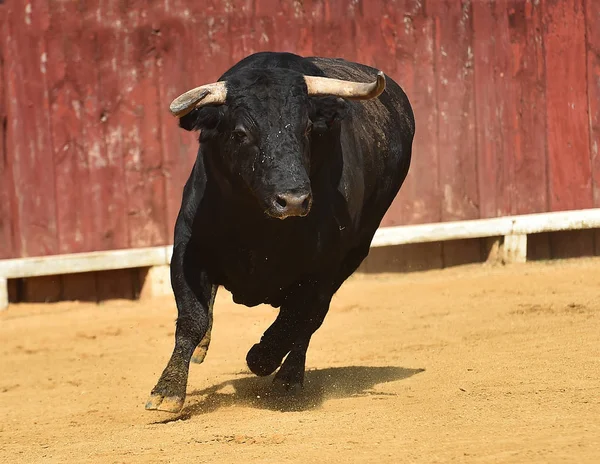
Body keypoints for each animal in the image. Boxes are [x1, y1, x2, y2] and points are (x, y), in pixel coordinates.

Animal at [148, 51, 414, 414]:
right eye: (241, 133)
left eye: (307, 129)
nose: (294, 200)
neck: (258, 224)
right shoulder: (188, 249)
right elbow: (192, 317)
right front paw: (167, 390)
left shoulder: (323, 268)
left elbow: (295, 320)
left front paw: (262, 357)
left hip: (353, 255)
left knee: (310, 320)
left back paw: (288, 378)